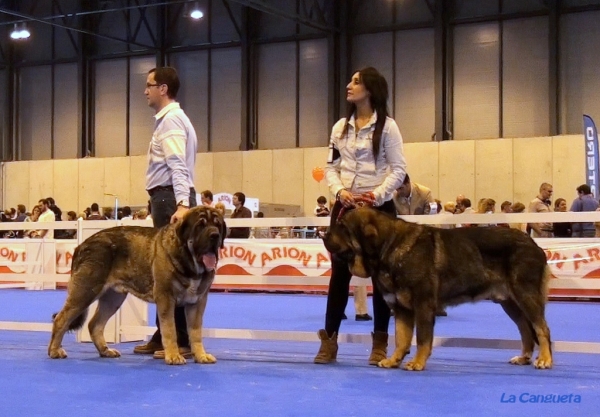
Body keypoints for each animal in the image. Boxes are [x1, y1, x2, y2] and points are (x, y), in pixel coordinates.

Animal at [48, 205, 226, 364]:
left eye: (217, 225)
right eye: (200, 226)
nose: (215, 235)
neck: (189, 261)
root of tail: (81, 245)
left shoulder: (197, 302)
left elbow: (195, 332)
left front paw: (201, 355)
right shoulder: (166, 298)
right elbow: (170, 330)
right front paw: (174, 356)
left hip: (113, 298)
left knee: (94, 324)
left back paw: (105, 351)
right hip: (86, 290)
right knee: (61, 319)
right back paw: (55, 350)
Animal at [324, 207, 552, 370]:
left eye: (342, 226)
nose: (324, 235)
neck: (389, 247)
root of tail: (535, 245)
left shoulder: (423, 304)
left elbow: (423, 337)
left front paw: (417, 362)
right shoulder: (401, 308)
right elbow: (401, 338)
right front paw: (394, 360)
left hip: (525, 295)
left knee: (541, 328)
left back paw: (545, 359)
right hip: (510, 302)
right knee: (525, 329)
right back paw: (523, 357)